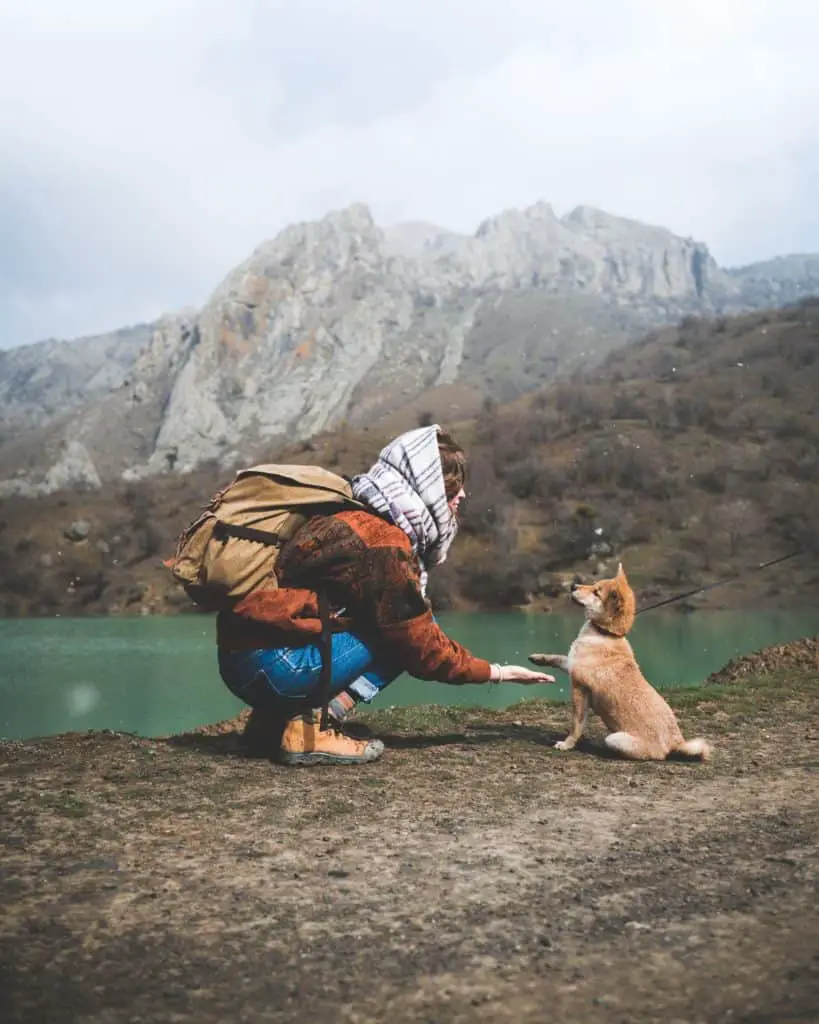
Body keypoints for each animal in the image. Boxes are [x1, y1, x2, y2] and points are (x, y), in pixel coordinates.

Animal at [532, 569, 708, 761]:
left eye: (596, 592)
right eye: (594, 585)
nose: (573, 586)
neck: (606, 634)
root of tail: (674, 745)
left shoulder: (579, 688)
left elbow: (576, 724)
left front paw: (567, 744)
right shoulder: (572, 663)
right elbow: (557, 658)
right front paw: (537, 658)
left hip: (615, 739)